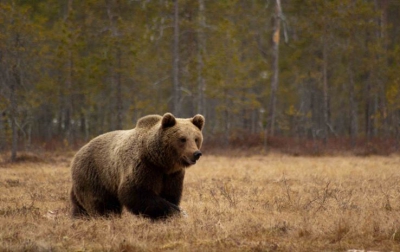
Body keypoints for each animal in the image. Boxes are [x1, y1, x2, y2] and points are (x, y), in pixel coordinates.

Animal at [69, 113, 205, 220]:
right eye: (182, 139)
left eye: (196, 138)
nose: (196, 154)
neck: (160, 161)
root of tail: (77, 153)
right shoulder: (143, 167)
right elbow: (136, 192)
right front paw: (178, 212)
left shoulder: (172, 175)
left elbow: (170, 194)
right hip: (96, 176)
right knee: (102, 204)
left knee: (79, 206)